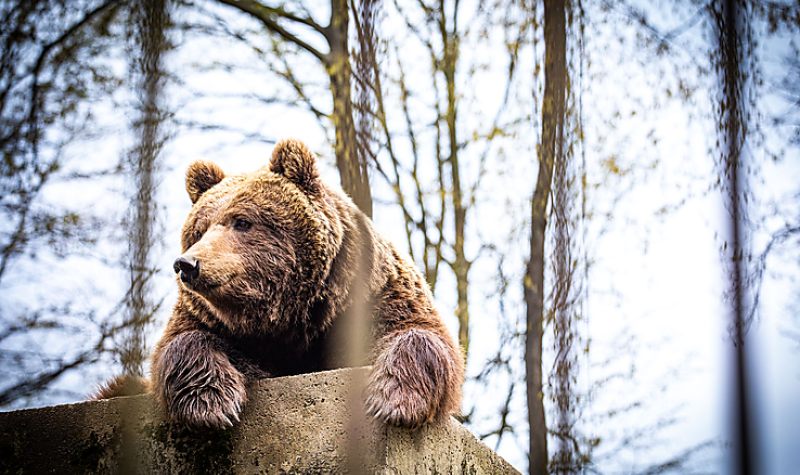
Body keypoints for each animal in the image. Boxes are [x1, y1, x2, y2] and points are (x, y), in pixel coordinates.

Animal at [101, 139, 462, 432]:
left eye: (241, 221)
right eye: (199, 230)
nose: (187, 264)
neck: (287, 315)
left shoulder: (372, 299)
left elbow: (420, 335)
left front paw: (393, 399)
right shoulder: (210, 319)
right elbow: (184, 342)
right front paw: (213, 402)